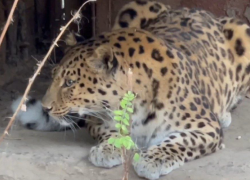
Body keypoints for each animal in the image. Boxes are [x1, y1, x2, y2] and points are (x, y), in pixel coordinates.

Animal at [10, 0, 250, 179]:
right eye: (53, 77)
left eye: (69, 83)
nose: (46, 107)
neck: (135, 105)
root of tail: (195, 9)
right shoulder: (97, 120)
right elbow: (110, 131)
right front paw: (109, 149)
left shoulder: (206, 126)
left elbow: (180, 141)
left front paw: (153, 159)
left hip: (243, 30)